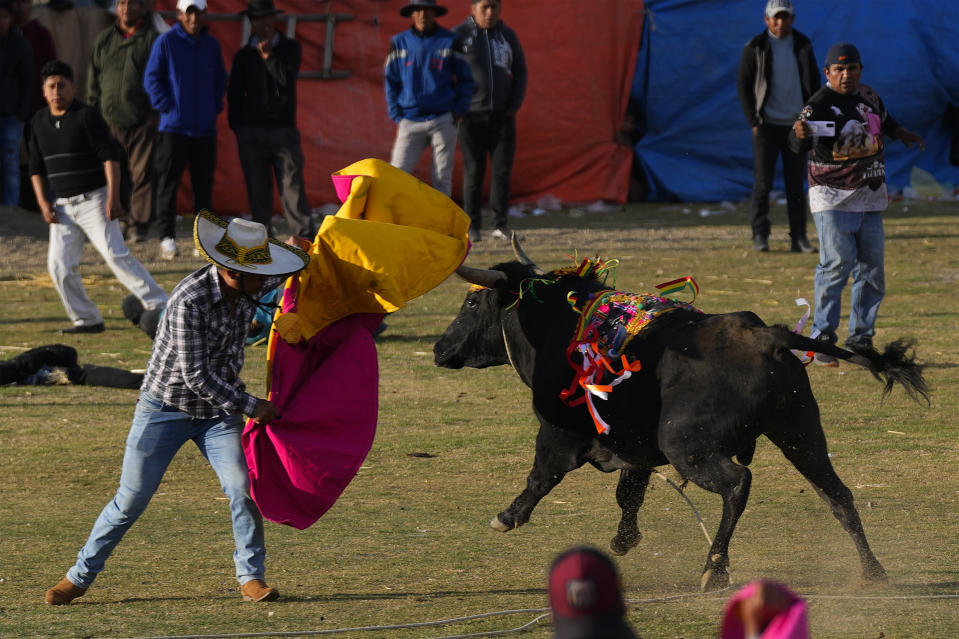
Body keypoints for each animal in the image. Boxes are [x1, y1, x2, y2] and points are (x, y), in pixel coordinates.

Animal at [436, 239, 928, 592]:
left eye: (473, 304)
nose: (440, 348)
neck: (558, 322)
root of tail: (767, 334)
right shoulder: (632, 445)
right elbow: (629, 493)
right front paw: (623, 540)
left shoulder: (558, 433)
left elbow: (541, 478)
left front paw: (507, 516)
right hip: (800, 432)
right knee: (837, 494)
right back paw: (872, 571)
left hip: (688, 444)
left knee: (738, 484)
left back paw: (715, 568)